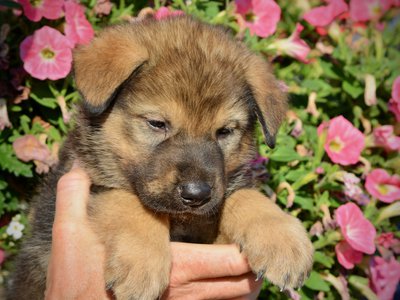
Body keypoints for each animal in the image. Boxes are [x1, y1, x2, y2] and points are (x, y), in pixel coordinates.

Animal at [6, 17, 312, 300]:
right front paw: (141, 262)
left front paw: (281, 239)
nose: (196, 194)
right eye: (157, 123)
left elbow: (243, 196)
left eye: (224, 132)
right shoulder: (84, 182)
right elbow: (126, 200)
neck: (180, 221)